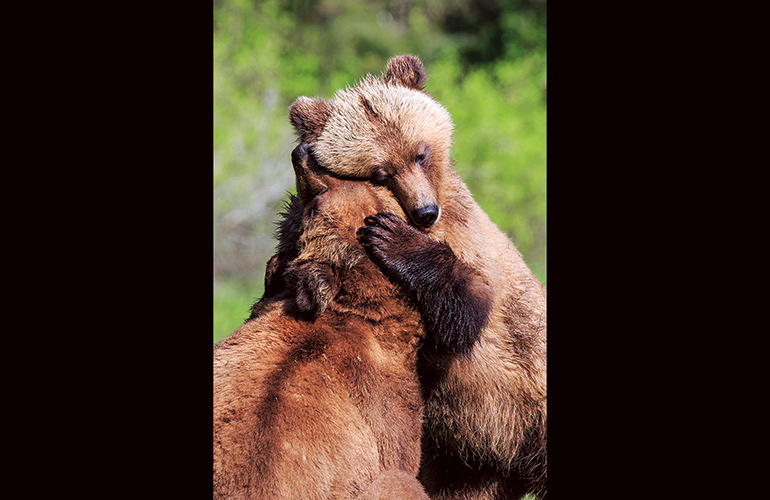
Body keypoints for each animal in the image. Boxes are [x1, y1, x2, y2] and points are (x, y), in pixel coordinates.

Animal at [287, 55, 547, 499]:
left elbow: (466, 308)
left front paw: (392, 238)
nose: (425, 211)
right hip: (466, 452)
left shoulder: (468, 239)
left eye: (420, 154)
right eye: (380, 172)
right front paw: (311, 280)